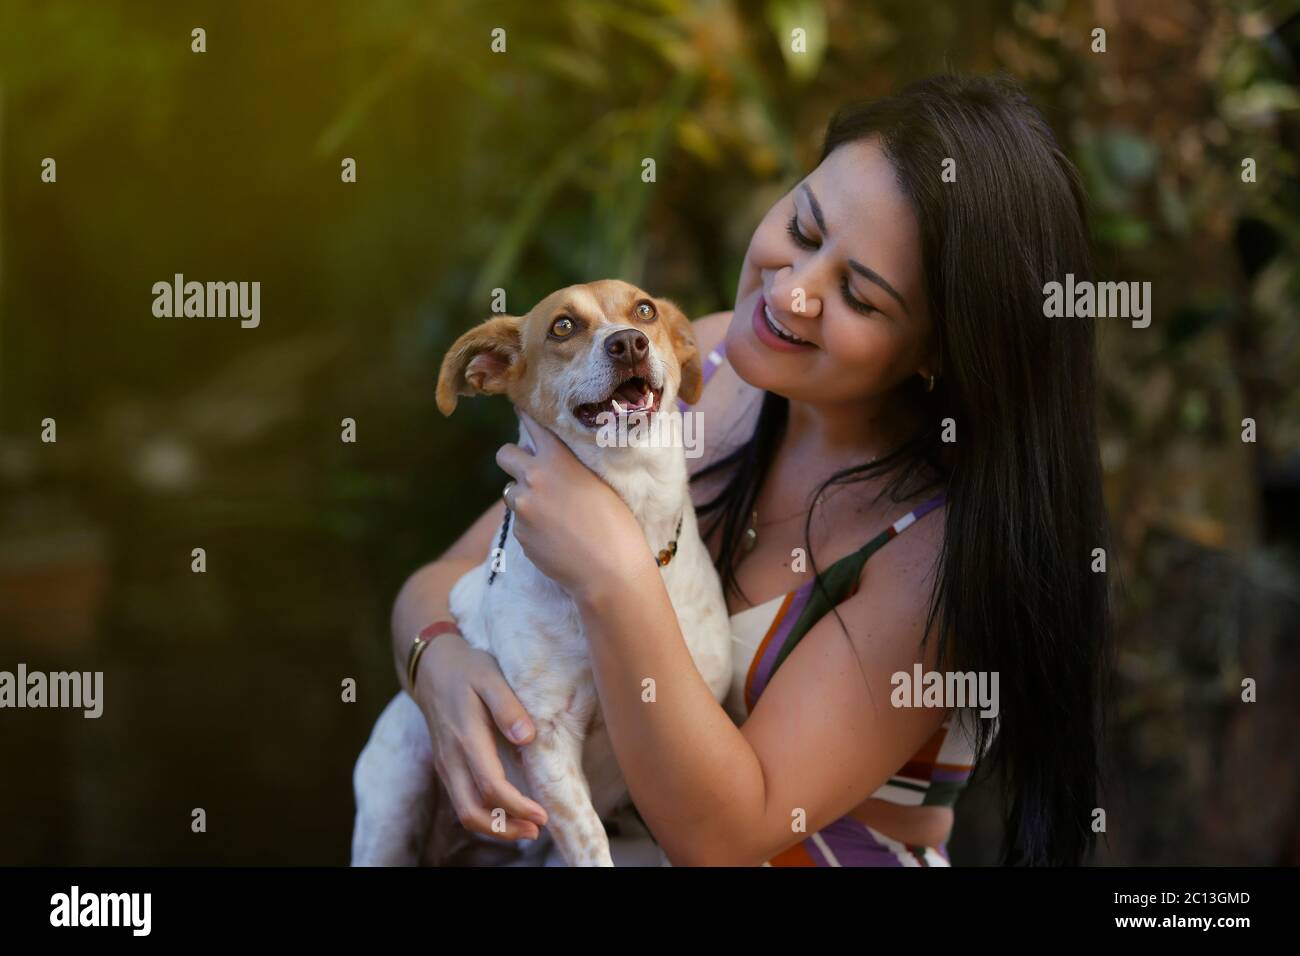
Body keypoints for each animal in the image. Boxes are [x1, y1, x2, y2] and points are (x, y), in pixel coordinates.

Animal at [351, 278, 738, 868]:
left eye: (645, 310)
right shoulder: (548, 738)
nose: (628, 343)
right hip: (396, 795)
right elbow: (590, 842)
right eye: (563, 326)